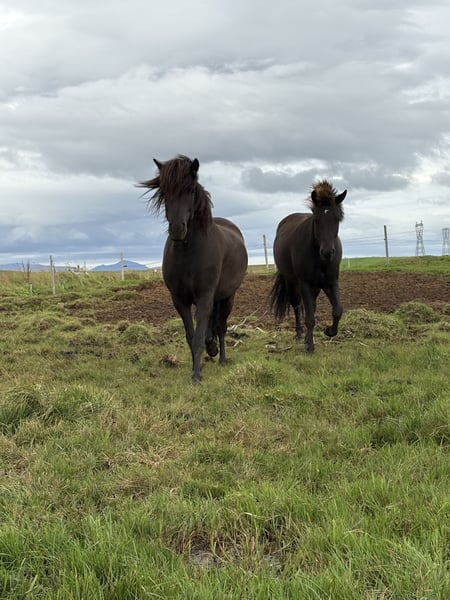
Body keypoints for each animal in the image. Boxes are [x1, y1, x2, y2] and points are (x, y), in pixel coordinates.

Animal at [139, 155, 248, 383]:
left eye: (190, 190)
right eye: (164, 192)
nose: (177, 229)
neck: (189, 253)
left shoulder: (205, 296)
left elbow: (199, 337)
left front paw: (196, 375)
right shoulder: (180, 300)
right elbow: (191, 336)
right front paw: (196, 366)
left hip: (228, 297)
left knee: (221, 326)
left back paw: (221, 357)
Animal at [270, 180, 347, 354]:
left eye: (337, 218)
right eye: (316, 219)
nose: (327, 252)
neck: (320, 258)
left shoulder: (331, 282)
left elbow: (337, 310)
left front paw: (329, 331)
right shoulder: (304, 283)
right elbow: (309, 317)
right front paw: (310, 346)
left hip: (316, 287)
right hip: (292, 282)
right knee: (297, 306)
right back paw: (299, 335)